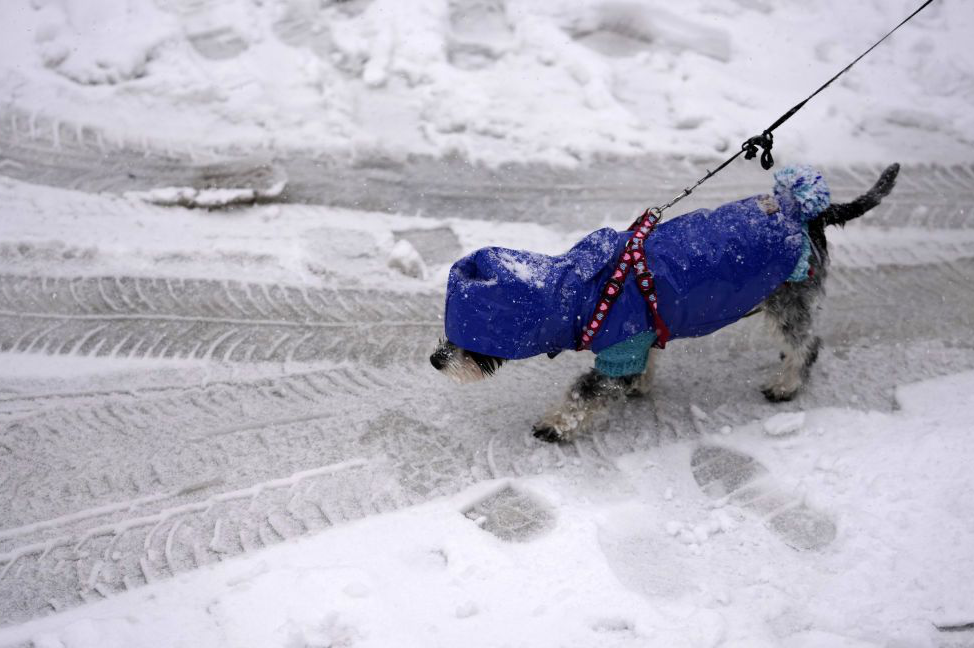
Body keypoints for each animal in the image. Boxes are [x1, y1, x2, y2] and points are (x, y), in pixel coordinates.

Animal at [430, 165, 904, 442]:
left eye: (467, 341)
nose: (435, 359)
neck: (579, 290)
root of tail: (806, 214)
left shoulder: (619, 348)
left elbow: (585, 391)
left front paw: (555, 423)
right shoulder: (638, 338)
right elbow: (643, 364)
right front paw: (642, 384)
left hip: (789, 299)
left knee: (807, 344)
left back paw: (786, 385)